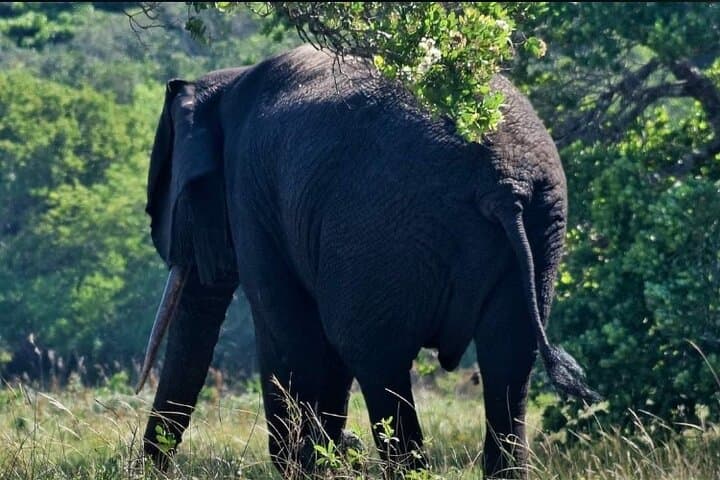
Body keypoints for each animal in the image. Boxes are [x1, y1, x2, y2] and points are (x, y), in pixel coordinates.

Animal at [137, 44, 599, 479]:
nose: (151, 467)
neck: (224, 83)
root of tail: (504, 181)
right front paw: (329, 458)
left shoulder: (250, 197)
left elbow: (290, 334)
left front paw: (308, 465)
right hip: (539, 224)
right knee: (508, 360)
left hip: (382, 225)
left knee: (376, 359)